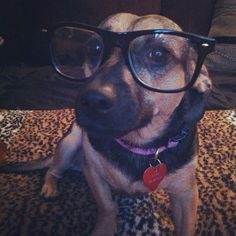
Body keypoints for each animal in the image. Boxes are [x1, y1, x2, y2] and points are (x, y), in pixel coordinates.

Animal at [0, 12, 214, 236]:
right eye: (94, 48)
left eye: (158, 54)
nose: (92, 100)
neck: (138, 145)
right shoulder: (93, 173)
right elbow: (107, 206)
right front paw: (105, 226)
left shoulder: (186, 194)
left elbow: (186, 225)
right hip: (70, 143)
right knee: (53, 169)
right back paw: (50, 186)